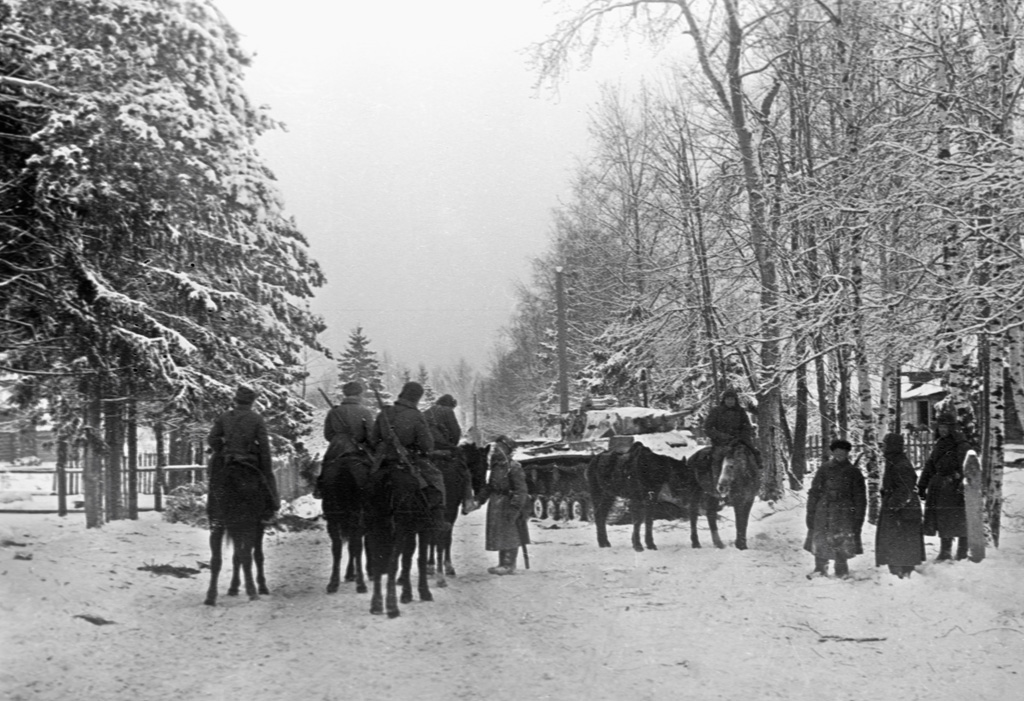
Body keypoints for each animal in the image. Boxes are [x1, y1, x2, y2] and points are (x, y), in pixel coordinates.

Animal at [201, 456, 268, 605]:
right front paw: (262, 587)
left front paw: (233, 587)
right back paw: (253, 591)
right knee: (247, 556)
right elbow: (256, 556)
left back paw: (210, 597)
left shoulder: (235, 528)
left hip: (219, 524)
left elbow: (236, 556)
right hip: (248, 525)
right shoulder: (257, 526)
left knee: (216, 560)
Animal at [362, 464, 438, 618]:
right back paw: (392, 607)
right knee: (392, 564)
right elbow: (419, 559)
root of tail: (387, 479)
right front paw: (424, 592)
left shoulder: (409, 532)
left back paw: (376, 605)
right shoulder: (423, 529)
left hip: (374, 530)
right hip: (398, 531)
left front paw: (406, 594)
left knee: (378, 563)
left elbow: (407, 559)